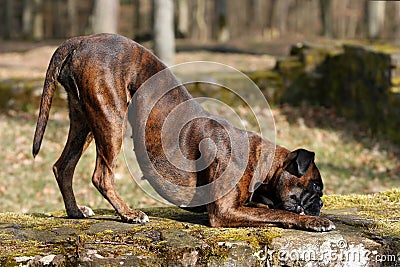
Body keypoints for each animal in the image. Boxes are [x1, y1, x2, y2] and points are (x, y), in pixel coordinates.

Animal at [33, 33, 334, 231]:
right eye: (315, 187)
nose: (320, 203)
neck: (259, 163)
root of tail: (79, 41)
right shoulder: (224, 212)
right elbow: (281, 214)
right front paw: (315, 220)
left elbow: (266, 209)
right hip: (110, 118)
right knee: (102, 175)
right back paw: (129, 214)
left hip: (84, 119)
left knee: (63, 166)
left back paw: (75, 211)